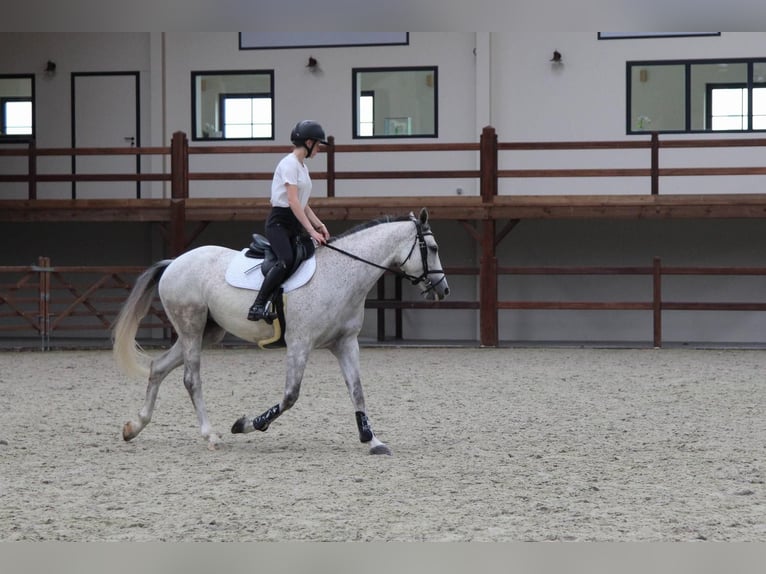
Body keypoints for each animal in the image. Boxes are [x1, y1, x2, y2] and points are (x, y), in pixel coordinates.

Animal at [114, 209, 450, 456]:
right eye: (433, 249)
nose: (443, 290)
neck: (342, 273)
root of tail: (174, 262)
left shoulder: (345, 343)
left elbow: (357, 391)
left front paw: (373, 440)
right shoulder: (300, 343)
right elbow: (290, 397)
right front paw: (245, 424)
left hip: (206, 333)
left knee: (158, 367)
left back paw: (135, 426)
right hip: (191, 328)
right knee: (190, 379)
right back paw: (210, 435)